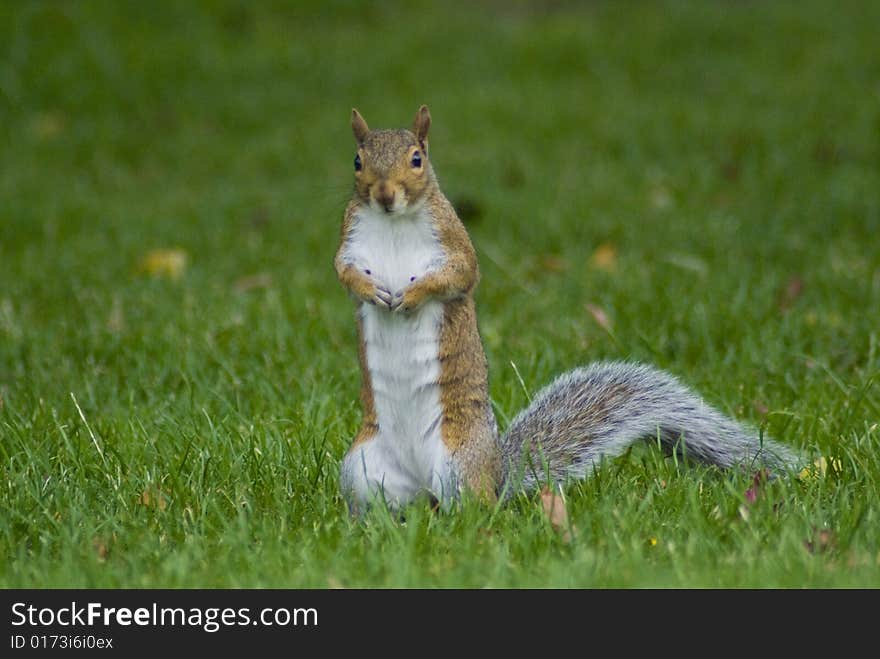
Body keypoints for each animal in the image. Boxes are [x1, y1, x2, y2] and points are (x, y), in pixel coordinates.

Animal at [334, 105, 800, 512]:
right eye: (357, 161)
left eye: (418, 159)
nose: (384, 194)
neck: (393, 223)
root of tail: (496, 476)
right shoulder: (350, 242)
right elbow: (345, 272)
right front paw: (373, 291)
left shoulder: (453, 242)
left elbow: (458, 275)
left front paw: (410, 296)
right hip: (362, 468)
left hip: (457, 466)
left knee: (472, 510)